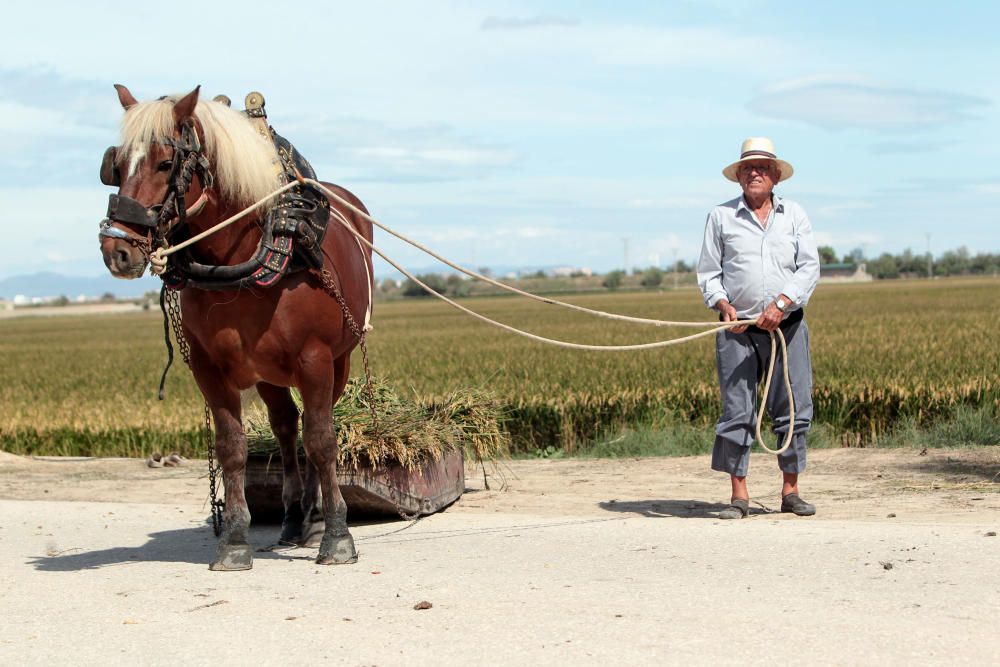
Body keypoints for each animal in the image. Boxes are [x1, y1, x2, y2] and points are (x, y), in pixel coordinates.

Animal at [98, 86, 376, 572]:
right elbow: (232, 446)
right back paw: (293, 517)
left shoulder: (315, 358)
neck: (245, 252)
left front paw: (337, 534)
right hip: (268, 373)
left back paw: (317, 516)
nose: (117, 250)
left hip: (337, 361)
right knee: (285, 427)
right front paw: (233, 539)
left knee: (315, 425)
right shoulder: (209, 367)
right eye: (117, 165)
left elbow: (322, 439)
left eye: (166, 163)